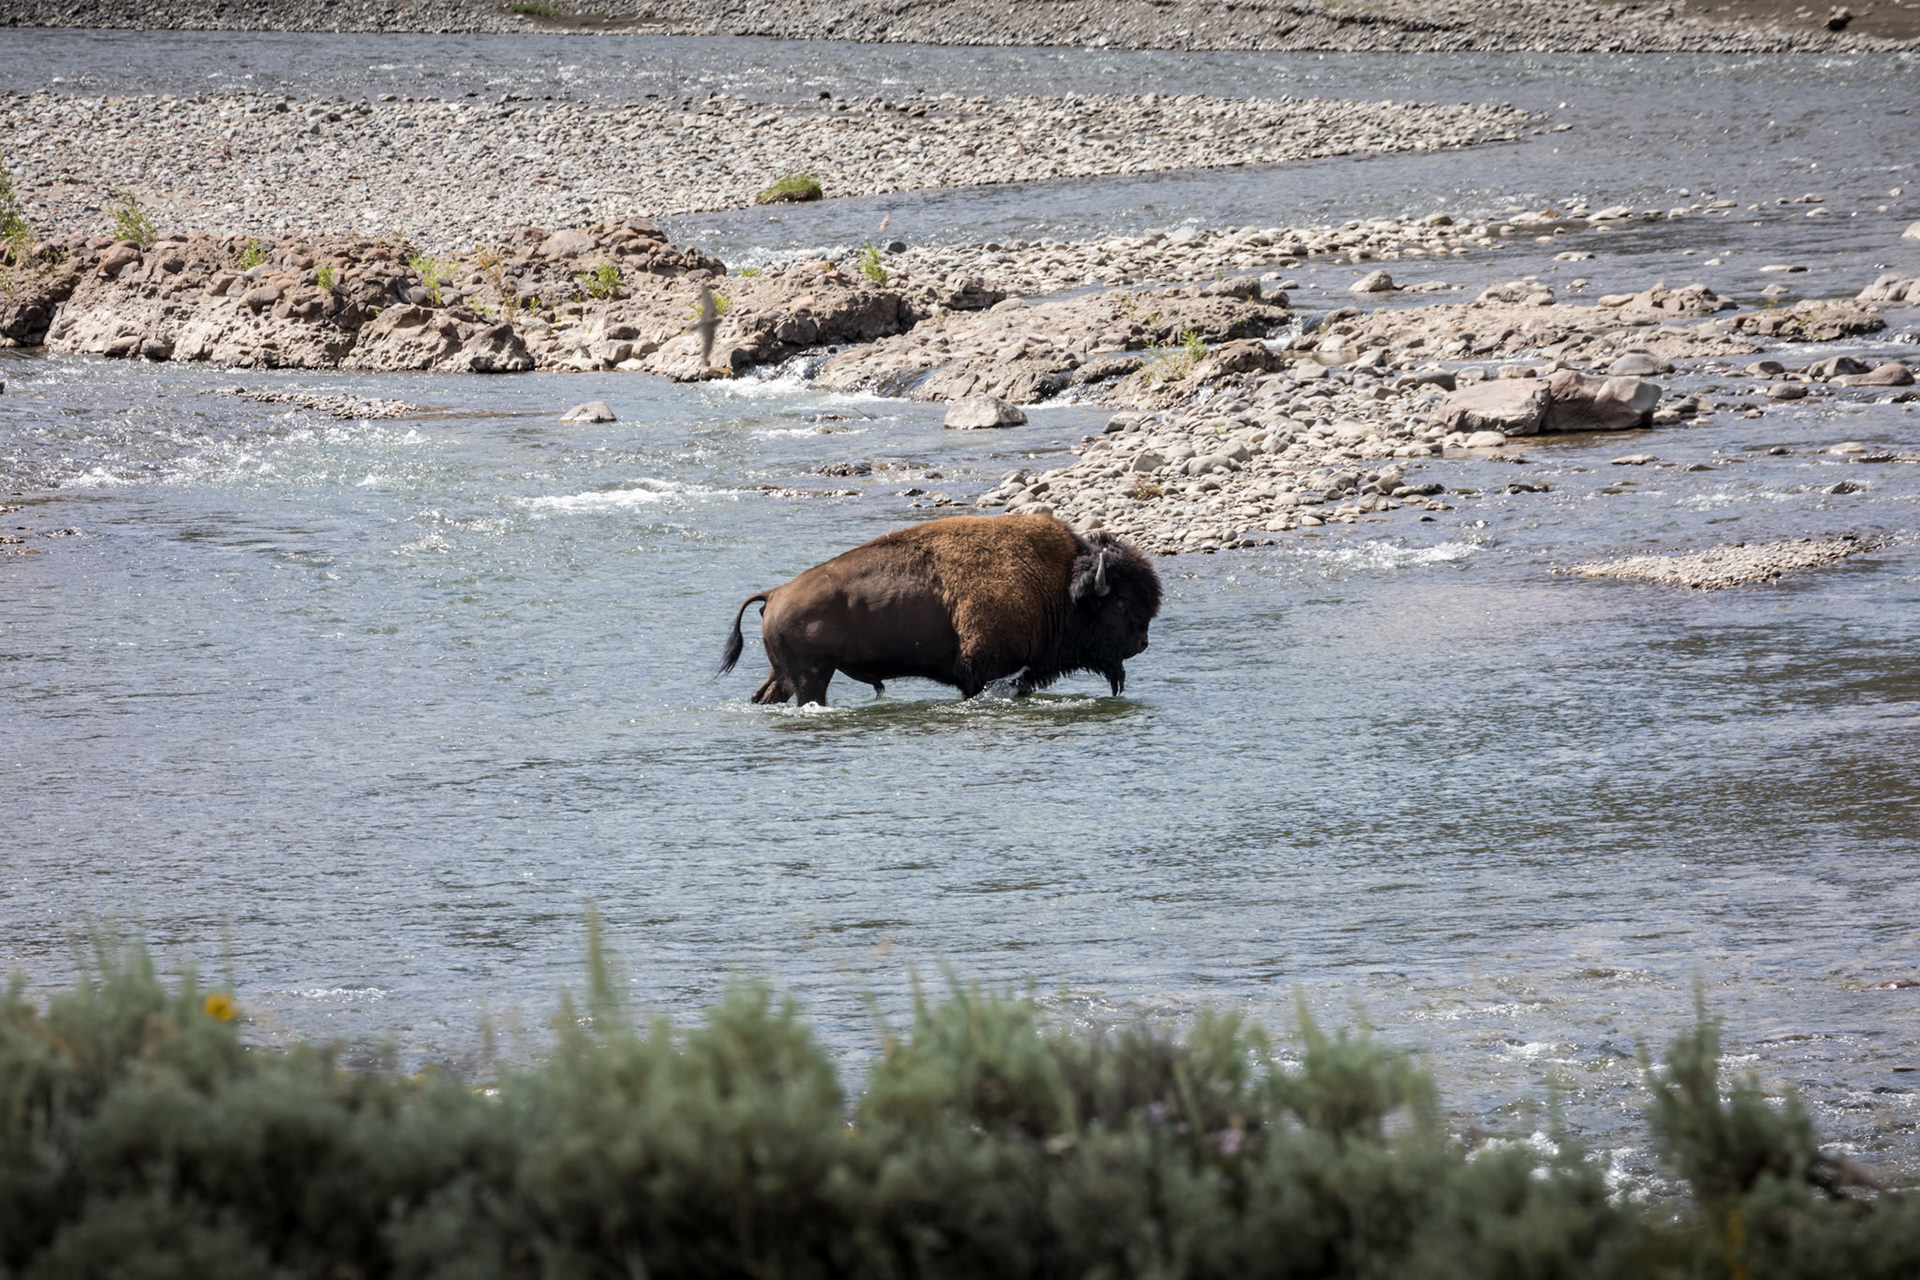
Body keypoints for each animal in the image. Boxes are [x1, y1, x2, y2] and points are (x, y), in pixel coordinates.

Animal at [719, 514, 1162, 706]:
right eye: (1122, 602)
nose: (1141, 642)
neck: (1055, 583)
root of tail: (775, 593)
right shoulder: (986, 672)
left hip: (785, 673)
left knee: (765, 695)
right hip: (812, 676)